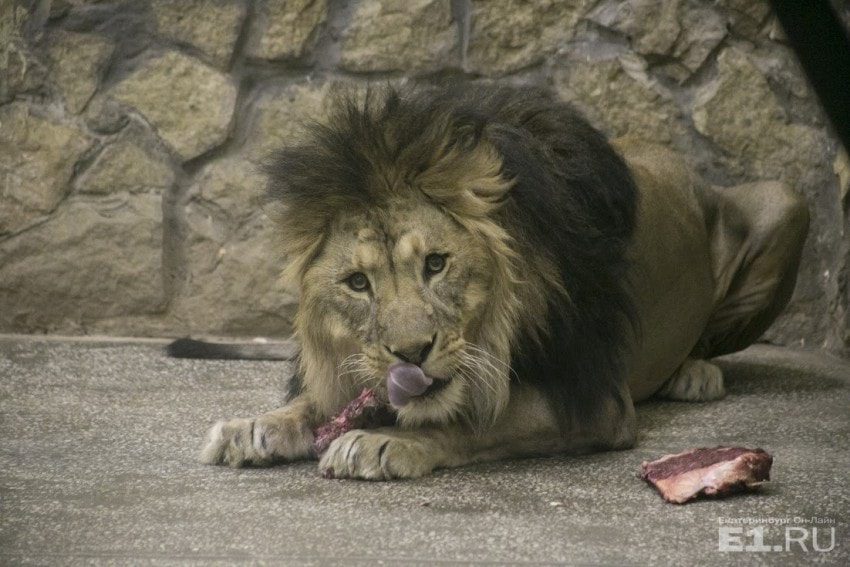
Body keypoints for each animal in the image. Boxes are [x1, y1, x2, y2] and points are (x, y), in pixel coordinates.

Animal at [194, 83, 808, 480]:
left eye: (436, 264)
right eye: (357, 283)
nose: (410, 353)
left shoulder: (592, 397)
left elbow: (475, 420)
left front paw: (384, 440)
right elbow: (317, 402)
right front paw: (256, 426)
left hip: (785, 202)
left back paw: (694, 374)